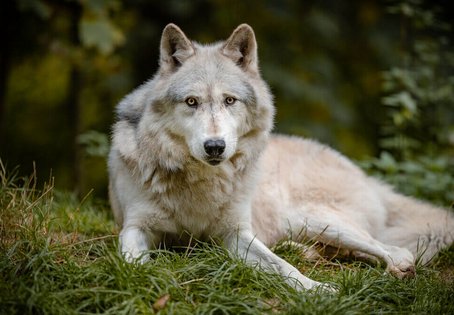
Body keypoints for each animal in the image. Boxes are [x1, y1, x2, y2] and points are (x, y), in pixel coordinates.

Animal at [110, 24, 454, 292]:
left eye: (230, 100)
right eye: (191, 102)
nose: (215, 146)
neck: (200, 184)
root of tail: (366, 177)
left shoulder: (236, 235)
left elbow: (283, 268)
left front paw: (318, 290)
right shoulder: (134, 228)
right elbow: (134, 263)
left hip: (311, 218)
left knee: (397, 251)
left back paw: (393, 267)